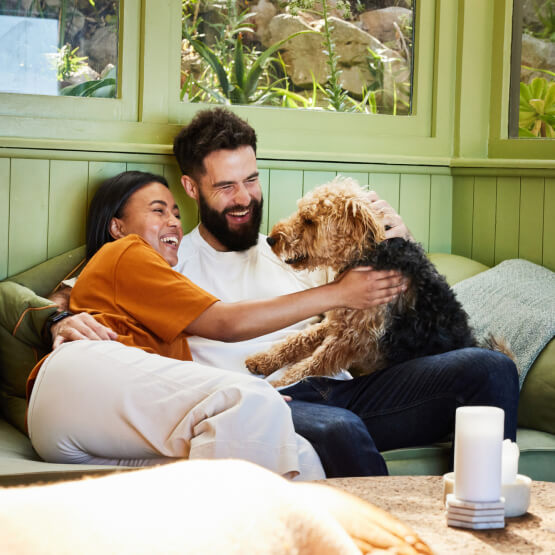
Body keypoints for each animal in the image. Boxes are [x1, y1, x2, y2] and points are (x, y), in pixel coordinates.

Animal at [245, 178, 510, 386]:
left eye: (309, 220)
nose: (270, 239)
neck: (365, 256)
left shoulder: (352, 338)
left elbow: (312, 363)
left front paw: (279, 384)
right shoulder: (338, 321)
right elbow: (298, 340)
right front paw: (262, 361)